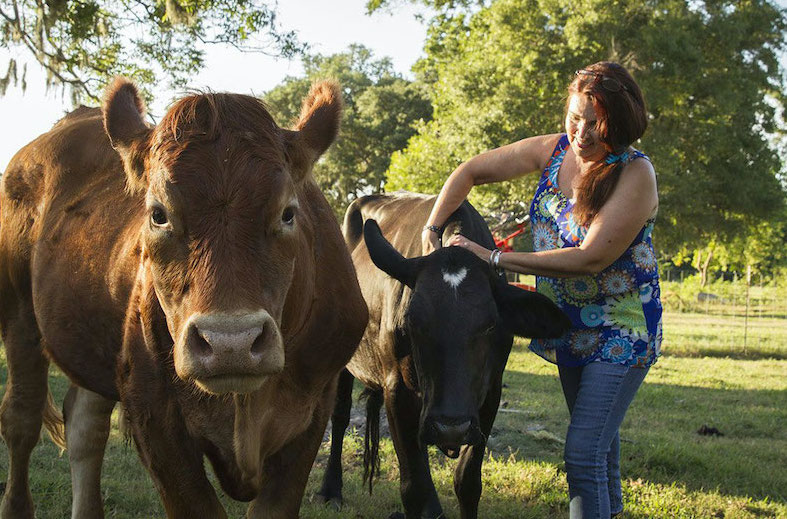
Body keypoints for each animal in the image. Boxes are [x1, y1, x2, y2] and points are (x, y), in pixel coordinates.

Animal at [0, 78, 368, 519]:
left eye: (288, 213)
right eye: (158, 214)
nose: (231, 343)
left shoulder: (314, 410)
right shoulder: (152, 415)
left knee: (85, 427)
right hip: (18, 315)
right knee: (21, 418)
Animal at [318, 194, 568, 519]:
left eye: (491, 324)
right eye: (412, 322)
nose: (451, 427)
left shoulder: (490, 394)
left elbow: (468, 481)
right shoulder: (397, 390)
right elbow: (412, 486)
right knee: (340, 415)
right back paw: (330, 490)